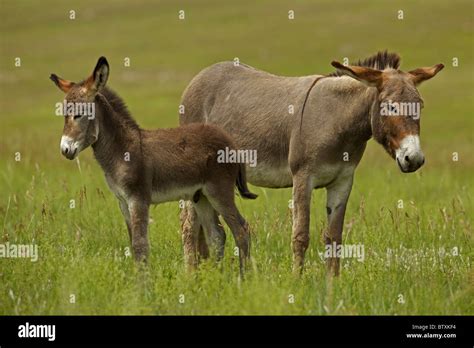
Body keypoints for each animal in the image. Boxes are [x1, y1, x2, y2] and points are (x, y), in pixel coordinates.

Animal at [49, 57, 256, 274]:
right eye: (64, 115)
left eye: (79, 114)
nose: (65, 150)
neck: (122, 149)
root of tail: (229, 140)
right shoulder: (122, 202)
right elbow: (133, 244)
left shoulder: (138, 199)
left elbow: (141, 246)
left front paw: (143, 284)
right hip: (202, 196)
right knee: (217, 236)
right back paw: (215, 278)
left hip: (219, 191)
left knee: (241, 229)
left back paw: (243, 278)